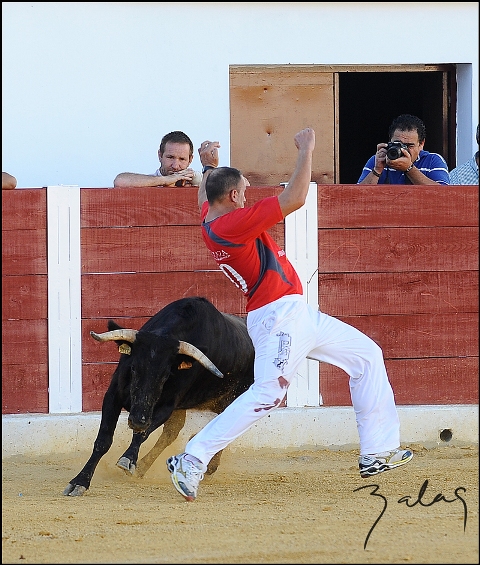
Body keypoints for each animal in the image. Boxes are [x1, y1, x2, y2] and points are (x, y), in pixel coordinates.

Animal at [63, 298, 255, 496]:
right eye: (133, 367)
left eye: (166, 375)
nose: (137, 420)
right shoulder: (113, 396)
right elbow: (103, 440)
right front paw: (79, 482)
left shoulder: (166, 407)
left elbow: (142, 434)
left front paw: (128, 459)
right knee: (171, 433)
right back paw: (143, 467)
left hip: (234, 401)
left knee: (227, 428)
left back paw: (209, 467)